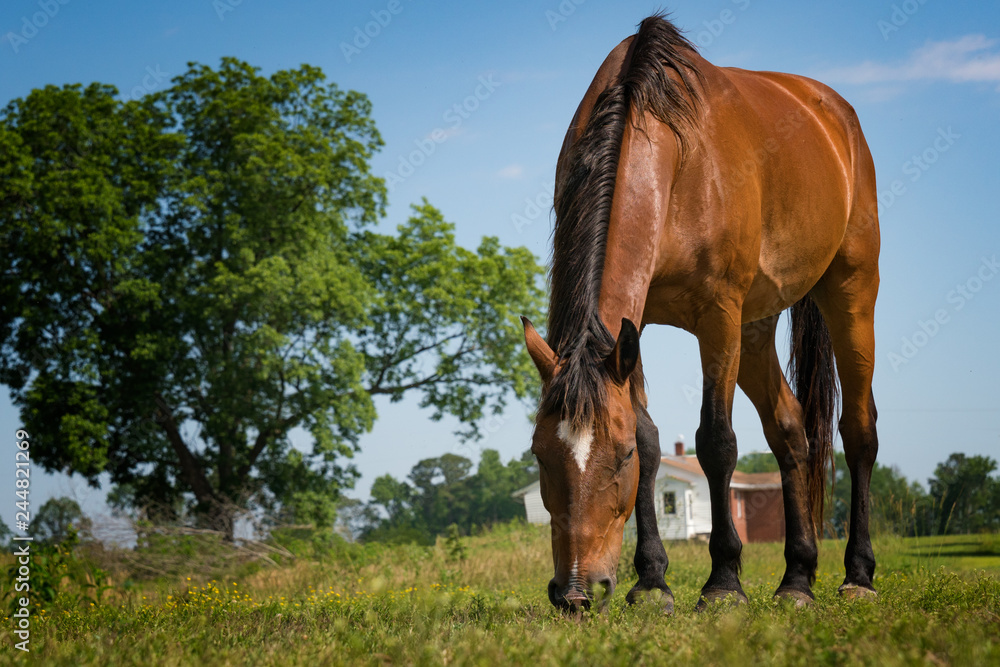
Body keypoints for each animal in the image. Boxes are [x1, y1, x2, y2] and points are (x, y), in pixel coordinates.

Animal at [522, 13, 880, 612]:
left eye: (617, 457)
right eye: (540, 455)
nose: (575, 593)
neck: (674, 154)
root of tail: (836, 114)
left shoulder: (718, 317)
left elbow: (716, 441)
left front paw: (723, 583)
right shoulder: (633, 328)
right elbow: (653, 438)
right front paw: (652, 582)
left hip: (851, 293)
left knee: (858, 431)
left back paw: (858, 574)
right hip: (756, 330)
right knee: (791, 432)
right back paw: (797, 579)